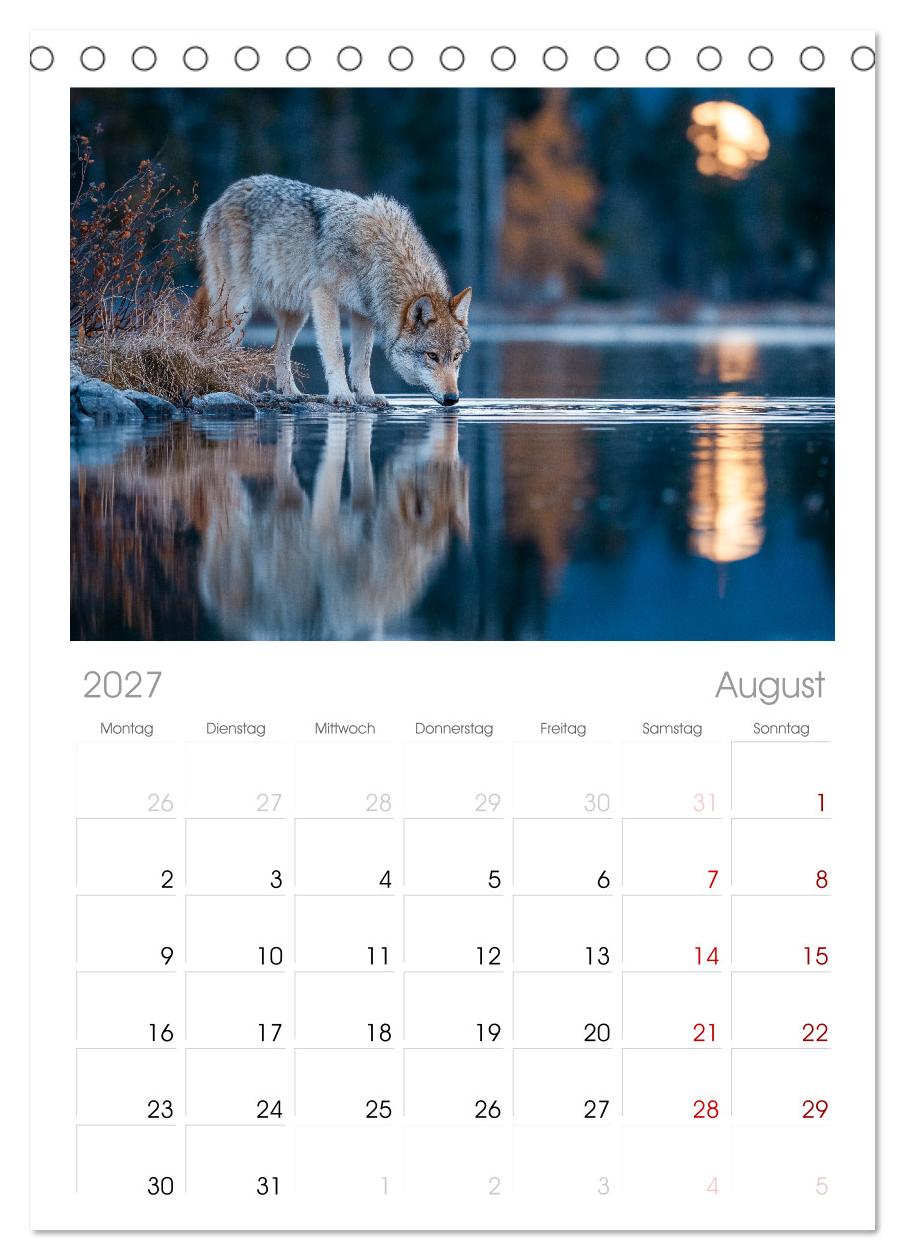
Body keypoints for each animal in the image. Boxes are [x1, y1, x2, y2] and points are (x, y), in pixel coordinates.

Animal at [196, 176, 472, 407]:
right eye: (432, 356)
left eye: (456, 356)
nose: (453, 399)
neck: (379, 252)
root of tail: (225, 195)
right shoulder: (324, 297)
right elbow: (336, 351)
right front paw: (341, 394)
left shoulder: (363, 313)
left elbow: (362, 361)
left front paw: (368, 396)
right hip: (240, 308)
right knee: (223, 347)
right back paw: (239, 389)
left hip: (295, 315)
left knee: (279, 354)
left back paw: (292, 394)